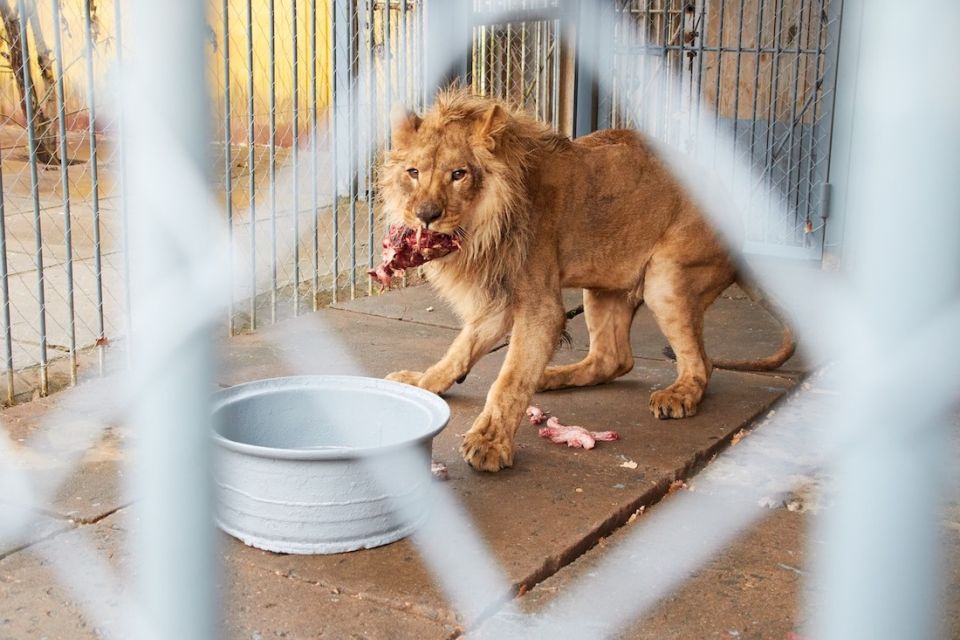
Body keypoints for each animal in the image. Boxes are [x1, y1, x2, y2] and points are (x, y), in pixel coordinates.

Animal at [378, 89, 792, 470]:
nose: (425, 215)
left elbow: (510, 380)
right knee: (613, 359)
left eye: (459, 174)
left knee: (701, 364)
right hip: (604, 285)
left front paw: (490, 442)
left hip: (667, 279)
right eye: (413, 172)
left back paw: (678, 396)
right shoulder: (497, 301)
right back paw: (550, 376)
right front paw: (422, 383)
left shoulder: (540, 307)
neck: (482, 227)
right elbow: (458, 351)